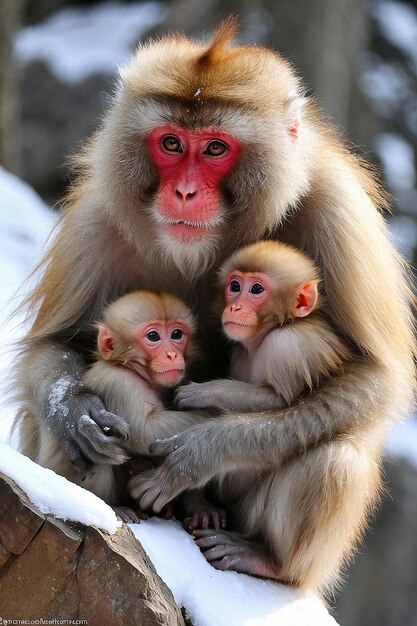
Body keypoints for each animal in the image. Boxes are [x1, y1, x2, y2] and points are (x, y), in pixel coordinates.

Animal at [14, 20, 414, 596]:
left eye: (216, 149)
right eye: (171, 143)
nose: (183, 192)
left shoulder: (339, 211)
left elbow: (373, 375)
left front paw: (205, 449)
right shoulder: (97, 219)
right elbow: (58, 347)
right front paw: (76, 410)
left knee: (333, 449)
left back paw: (261, 558)